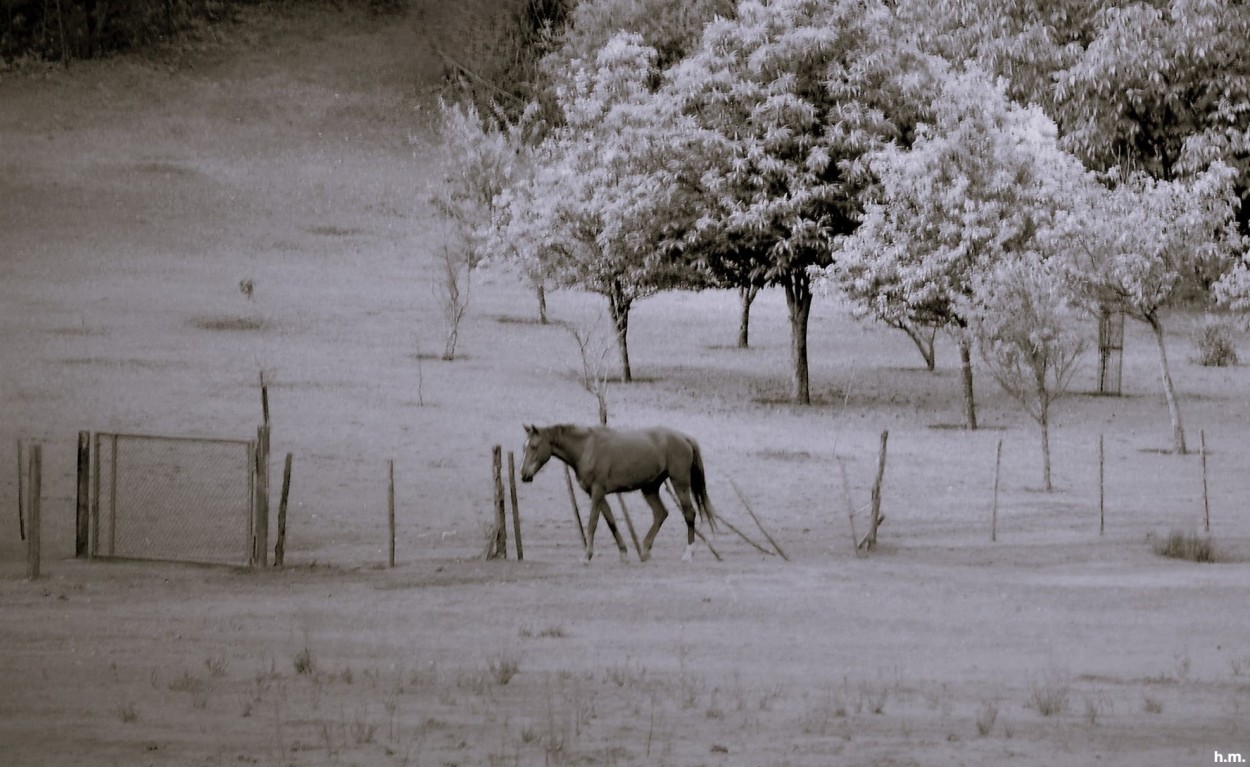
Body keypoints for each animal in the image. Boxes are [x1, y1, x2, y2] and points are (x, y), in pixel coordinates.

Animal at [517, 424, 720, 562]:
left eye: (534, 446)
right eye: (523, 447)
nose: (523, 475)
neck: (586, 448)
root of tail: (684, 437)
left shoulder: (598, 491)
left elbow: (592, 523)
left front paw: (587, 555)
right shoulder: (596, 494)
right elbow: (611, 522)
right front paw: (623, 552)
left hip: (680, 483)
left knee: (689, 513)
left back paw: (688, 553)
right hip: (650, 488)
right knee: (660, 513)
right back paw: (645, 550)